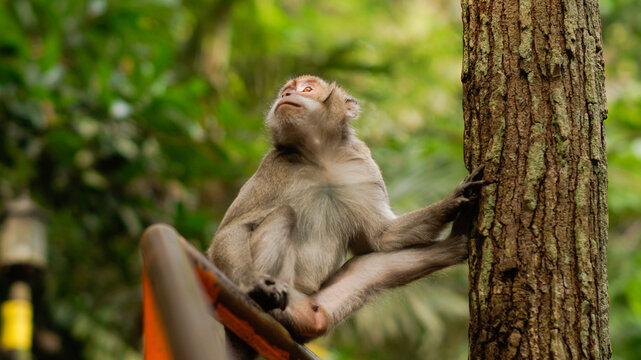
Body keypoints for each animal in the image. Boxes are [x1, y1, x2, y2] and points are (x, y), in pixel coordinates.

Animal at [208, 76, 482, 358]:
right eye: (286, 91)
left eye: (307, 89)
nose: (286, 96)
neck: (319, 157)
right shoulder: (272, 168)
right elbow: (233, 228)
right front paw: (253, 284)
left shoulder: (362, 164)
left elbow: (381, 237)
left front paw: (450, 203)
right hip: (289, 296)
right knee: (283, 214)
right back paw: (266, 303)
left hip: (320, 307)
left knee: (368, 265)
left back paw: (456, 244)